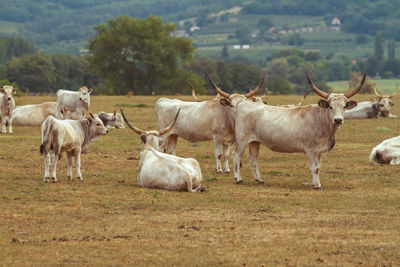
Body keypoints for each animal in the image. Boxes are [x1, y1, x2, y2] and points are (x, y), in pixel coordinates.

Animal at [208, 70, 368, 189]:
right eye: (330, 106)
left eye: (344, 106)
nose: (338, 120)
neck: (322, 123)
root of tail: (243, 104)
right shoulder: (311, 149)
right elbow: (314, 167)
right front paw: (317, 185)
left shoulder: (321, 152)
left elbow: (318, 167)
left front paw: (315, 182)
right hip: (242, 139)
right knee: (236, 155)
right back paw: (238, 178)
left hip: (255, 142)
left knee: (252, 159)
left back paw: (259, 179)